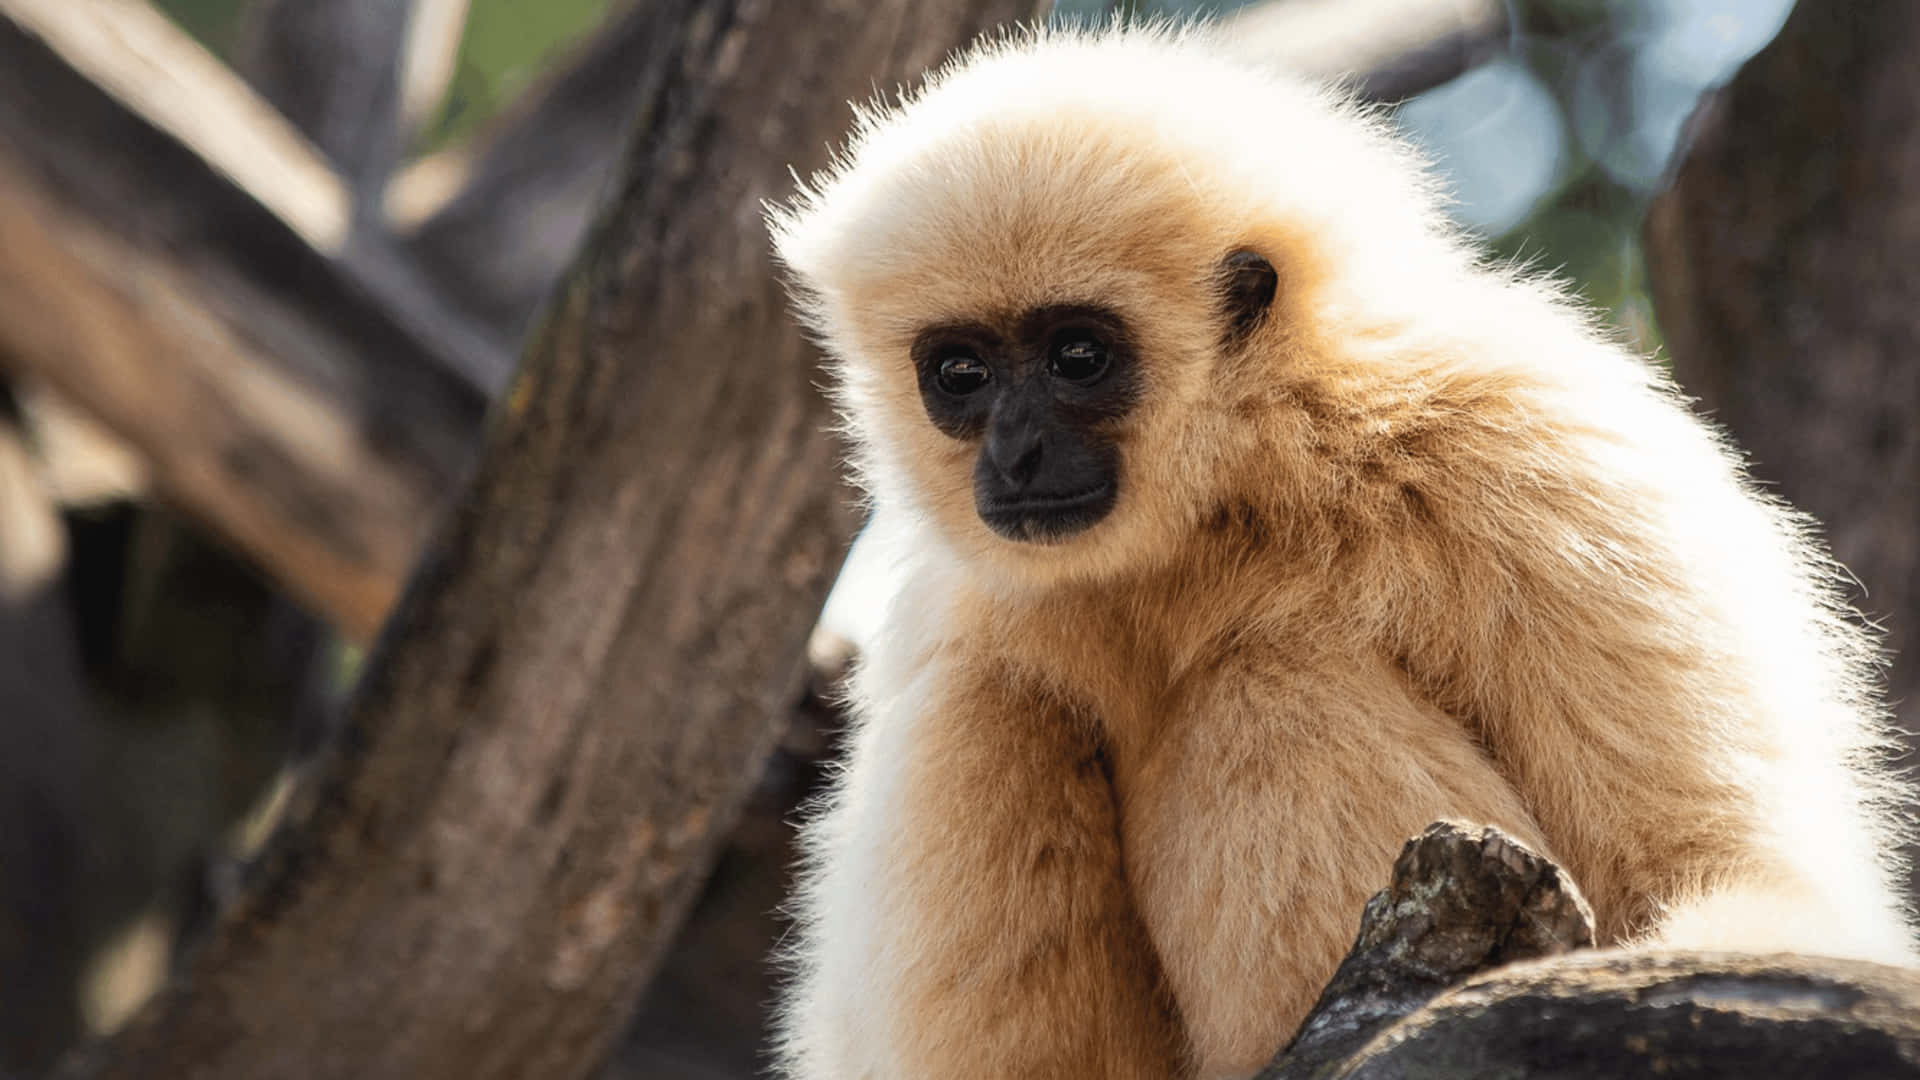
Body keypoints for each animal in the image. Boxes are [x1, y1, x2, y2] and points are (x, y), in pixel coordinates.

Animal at [765, 24, 1917, 1080]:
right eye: (959, 373)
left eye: (1078, 355)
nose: (1014, 449)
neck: (1234, 494)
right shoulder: (962, 603)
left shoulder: (1538, 461)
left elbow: (1728, 874)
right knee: (983, 707)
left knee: (1267, 681)